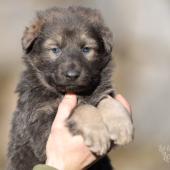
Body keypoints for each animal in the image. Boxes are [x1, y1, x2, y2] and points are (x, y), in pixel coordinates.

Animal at [6, 6, 133, 170]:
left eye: (86, 49)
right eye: (55, 50)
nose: (72, 75)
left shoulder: (102, 91)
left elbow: (108, 100)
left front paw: (122, 125)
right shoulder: (40, 124)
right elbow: (82, 108)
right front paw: (97, 134)